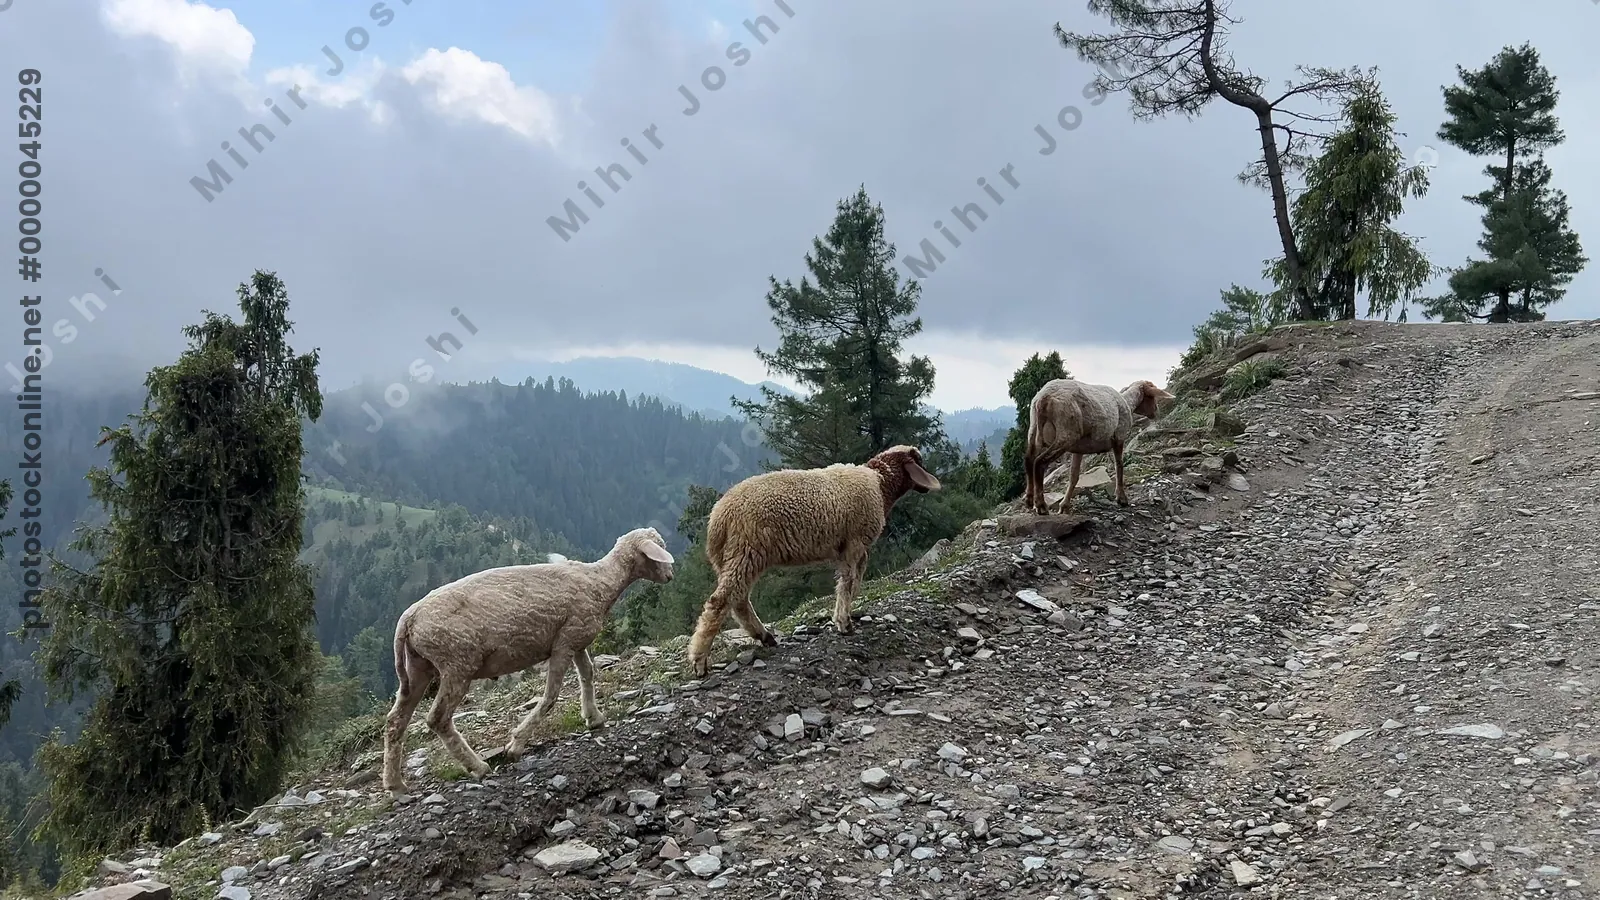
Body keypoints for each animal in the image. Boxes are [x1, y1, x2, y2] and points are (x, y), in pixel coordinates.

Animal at [381, 527, 675, 794]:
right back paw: (477, 766)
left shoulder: (576, 638)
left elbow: (588, 674)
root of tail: (409, 619)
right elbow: (551, 696)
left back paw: (396, 785)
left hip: (419, 667)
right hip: (457, 662)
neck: (600, 581)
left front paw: (594, 717)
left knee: (395, 720)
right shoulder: (563, 643)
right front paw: (516, 744)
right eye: (660, 549)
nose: (671, 575)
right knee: (437, 719)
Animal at [685, 445, 941, 677]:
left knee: (738, 600)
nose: (927, 486)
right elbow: (848, 581)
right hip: (745, 551)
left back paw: (764, 637)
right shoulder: (854, 542)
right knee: (720, 601)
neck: (879, 484)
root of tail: (719, 516)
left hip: (730, 558)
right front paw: (844, 623)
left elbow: (853, 580)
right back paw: (700, 661)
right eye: (919, 461)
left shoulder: (850, 547)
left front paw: (843, 615)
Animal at [1023, 378, 1174, 516]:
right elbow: (1119, 466)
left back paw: (1029, 500)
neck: (1128, 403)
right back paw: (1040, 505)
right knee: (1039, 463)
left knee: (1029, 460)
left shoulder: (1078, 449)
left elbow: (1074, 476)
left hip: (1034, 431)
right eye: (1151, 396)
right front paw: (1122, 498)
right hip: (1066, 432)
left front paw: (1064, 506)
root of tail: (1044, 398)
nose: (1156, 412)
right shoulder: (1119, 437)